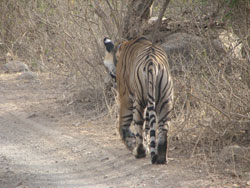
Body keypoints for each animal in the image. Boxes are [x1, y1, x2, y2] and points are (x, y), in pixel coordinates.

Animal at [102, 36, 173, 164]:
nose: (110, 79)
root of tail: (151, 63)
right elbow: (148, 127)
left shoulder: (125, 97)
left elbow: (123, 125)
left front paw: (130, 143)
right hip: (166, 100)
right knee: (163, 129)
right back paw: (161, 158)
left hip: (138, 102)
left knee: (138, 127)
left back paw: (138, 151)